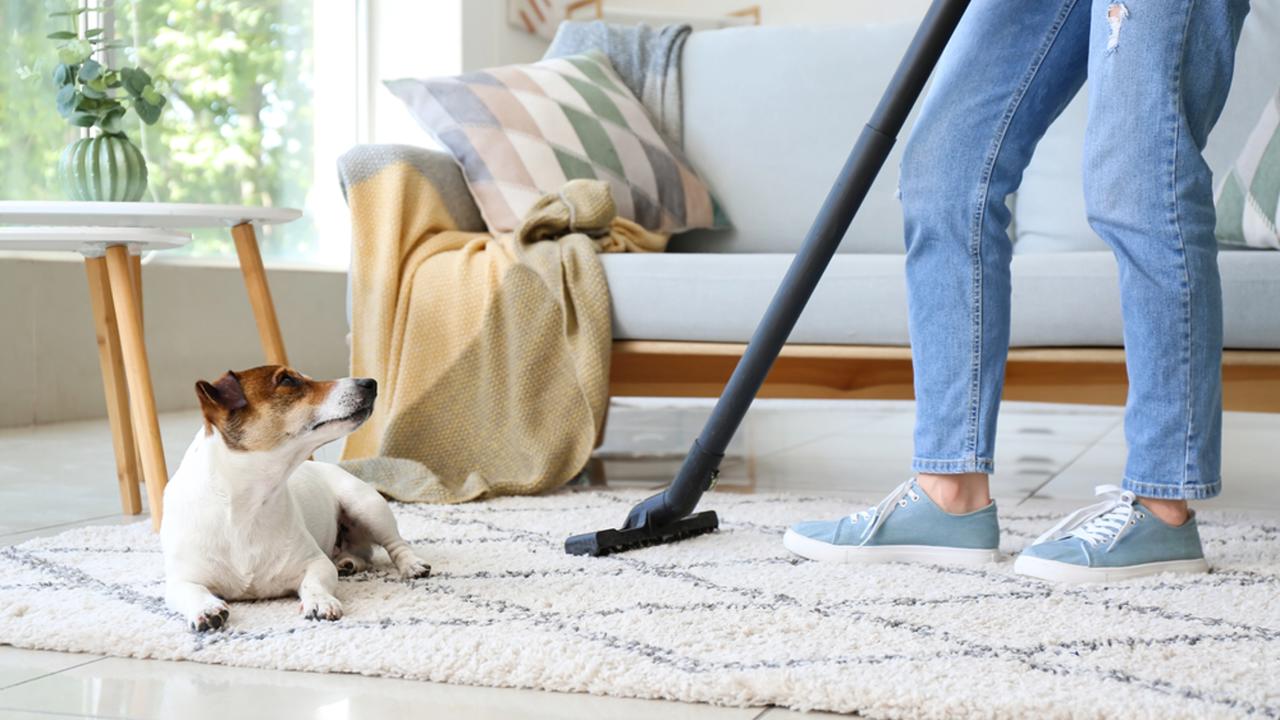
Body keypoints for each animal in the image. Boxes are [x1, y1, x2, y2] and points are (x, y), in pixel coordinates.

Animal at [158, 363, 430, 627]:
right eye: (288, 380)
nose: (370, 382)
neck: (246, 505)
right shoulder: (181, 580)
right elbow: (191, 592)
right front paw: (206, 609)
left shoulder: (316, 563)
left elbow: (314, 582)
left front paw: (320, 601)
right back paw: (347, 562)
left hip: (367, 505)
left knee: (395, 544)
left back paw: (411, 564)